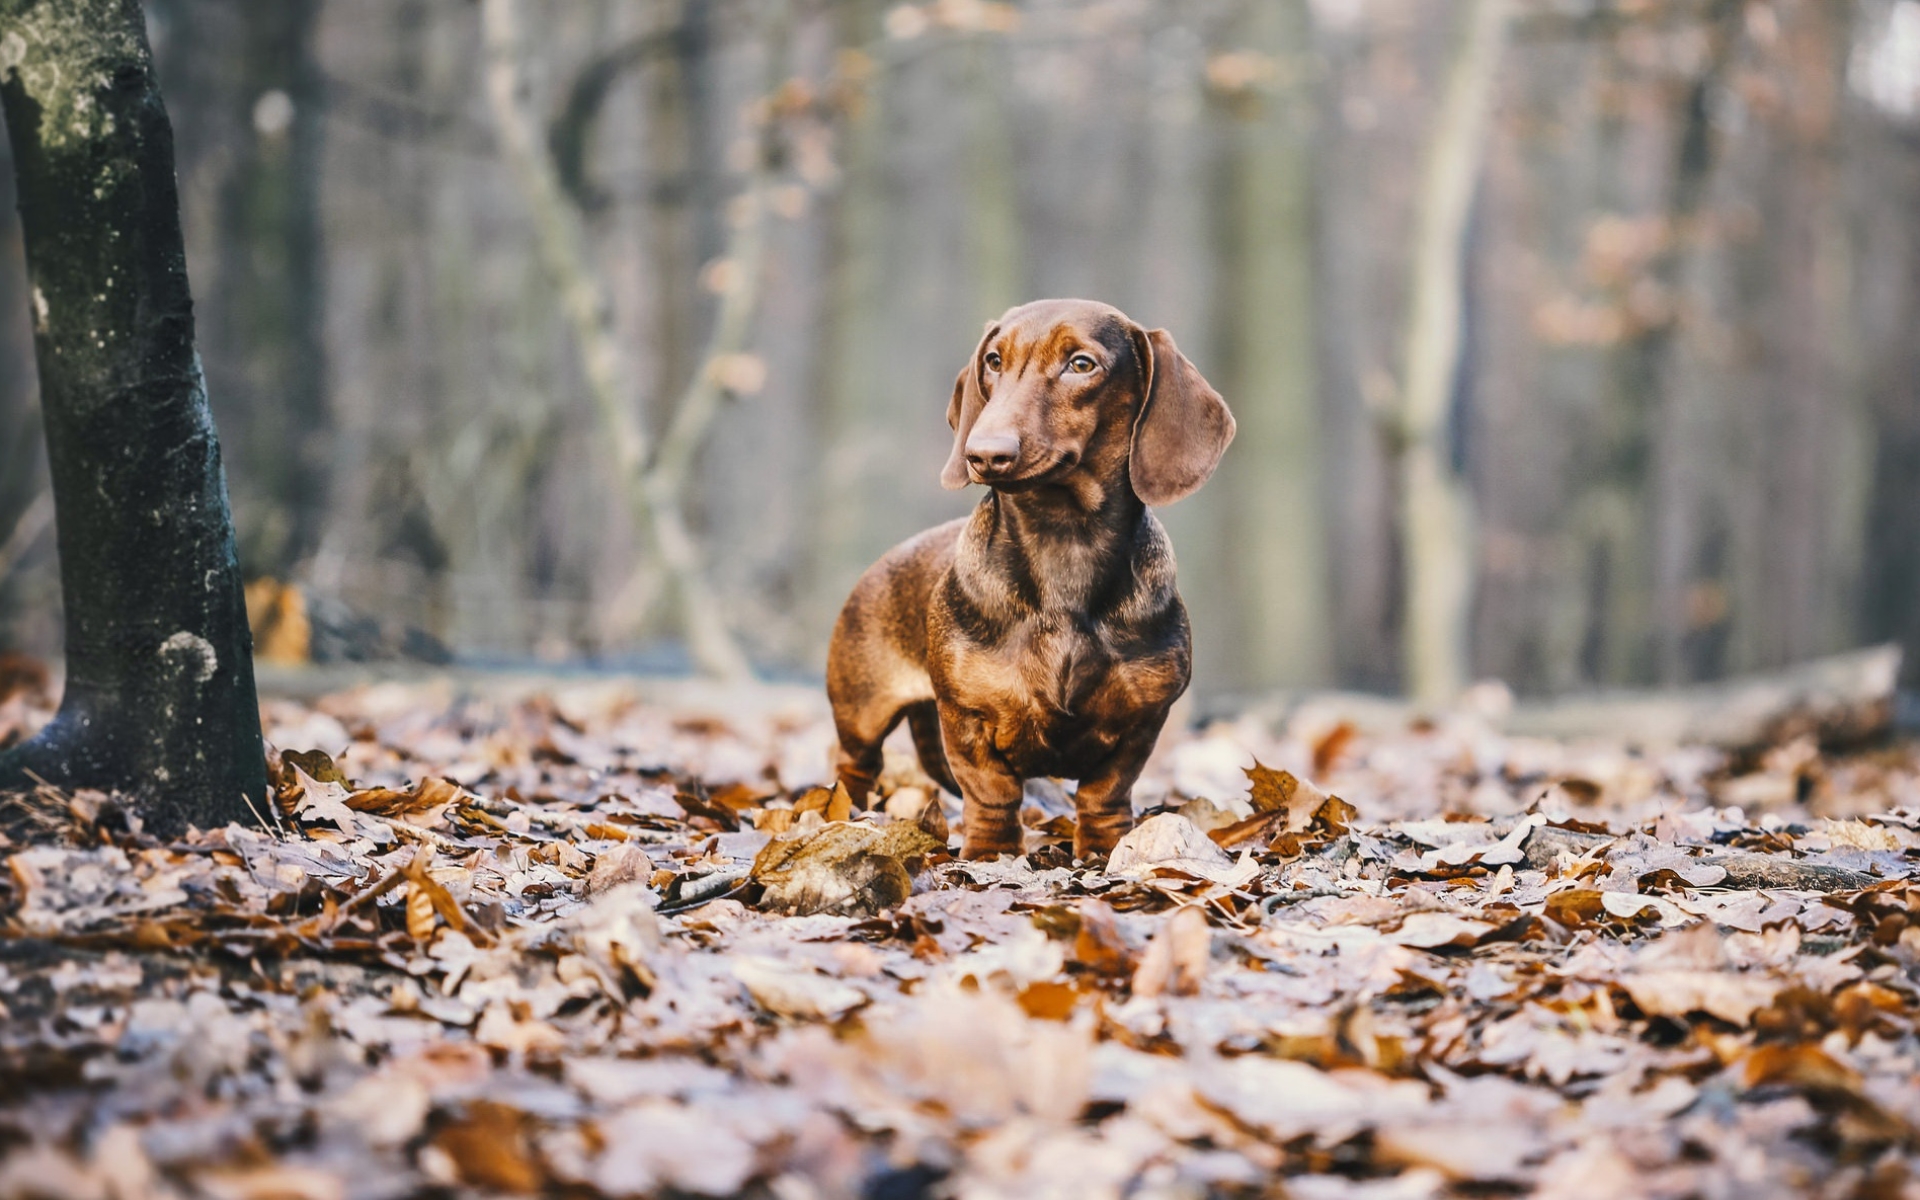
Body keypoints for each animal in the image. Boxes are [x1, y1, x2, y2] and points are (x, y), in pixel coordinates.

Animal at [825, 299, 1228, 860]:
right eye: (994, 361)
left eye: (1081, 364)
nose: (982, 453)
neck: (1064, 542)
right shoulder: (966, 718)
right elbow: (992, 791)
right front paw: (990, 852)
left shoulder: (1142, 722)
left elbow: (1106, 792)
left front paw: (1104, 848)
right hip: (861, 714)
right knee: (855, 767)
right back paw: (845, 815)